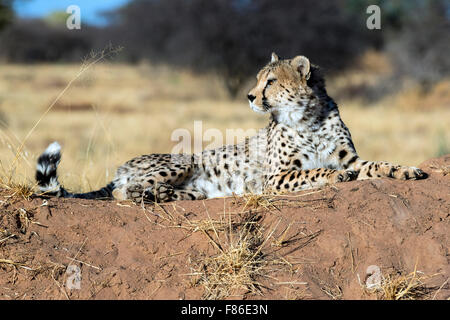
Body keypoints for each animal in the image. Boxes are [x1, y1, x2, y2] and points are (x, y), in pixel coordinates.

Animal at [35, 52, 426, 202]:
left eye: (270, 81)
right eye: (258, 79)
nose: (249, 96)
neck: (308, 116)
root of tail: (122, 166)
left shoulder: (351, 158)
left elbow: (378, 164)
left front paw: (408, 170)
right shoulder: (276, 177)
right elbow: (314, 172)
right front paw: (334, 177)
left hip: (198, 190)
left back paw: (164, 195)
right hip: (182, 162)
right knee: (125, 192)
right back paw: (151, 193)